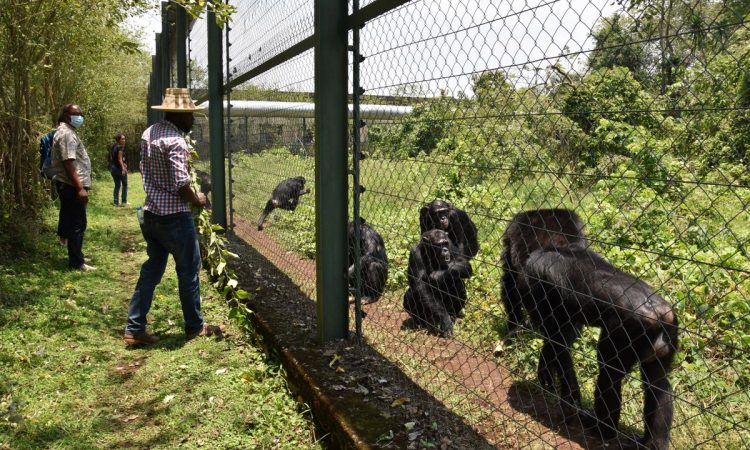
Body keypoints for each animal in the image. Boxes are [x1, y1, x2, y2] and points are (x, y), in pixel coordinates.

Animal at [502, 208, 680, 450]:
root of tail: (659, 314)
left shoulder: (536, 277)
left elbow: (557, 339)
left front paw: (566, 395)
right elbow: (562, 336)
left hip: (626, 333)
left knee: (609, 375)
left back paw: (601, 428)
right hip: (668, 334)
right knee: (658, 384)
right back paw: (653, 442)